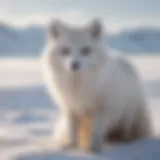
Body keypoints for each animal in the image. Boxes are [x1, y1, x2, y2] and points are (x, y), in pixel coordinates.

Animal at [41, 19, 151, 152]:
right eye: (65, 50)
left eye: (85, 50)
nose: (74, 64)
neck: (78, 84)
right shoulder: (70, 108)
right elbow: (72, 131)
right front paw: (71, 147)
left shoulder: (101, 110)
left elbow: (97, 132)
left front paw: (94, 149)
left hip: (128, 113)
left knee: (125, 129)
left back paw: (122, 140)